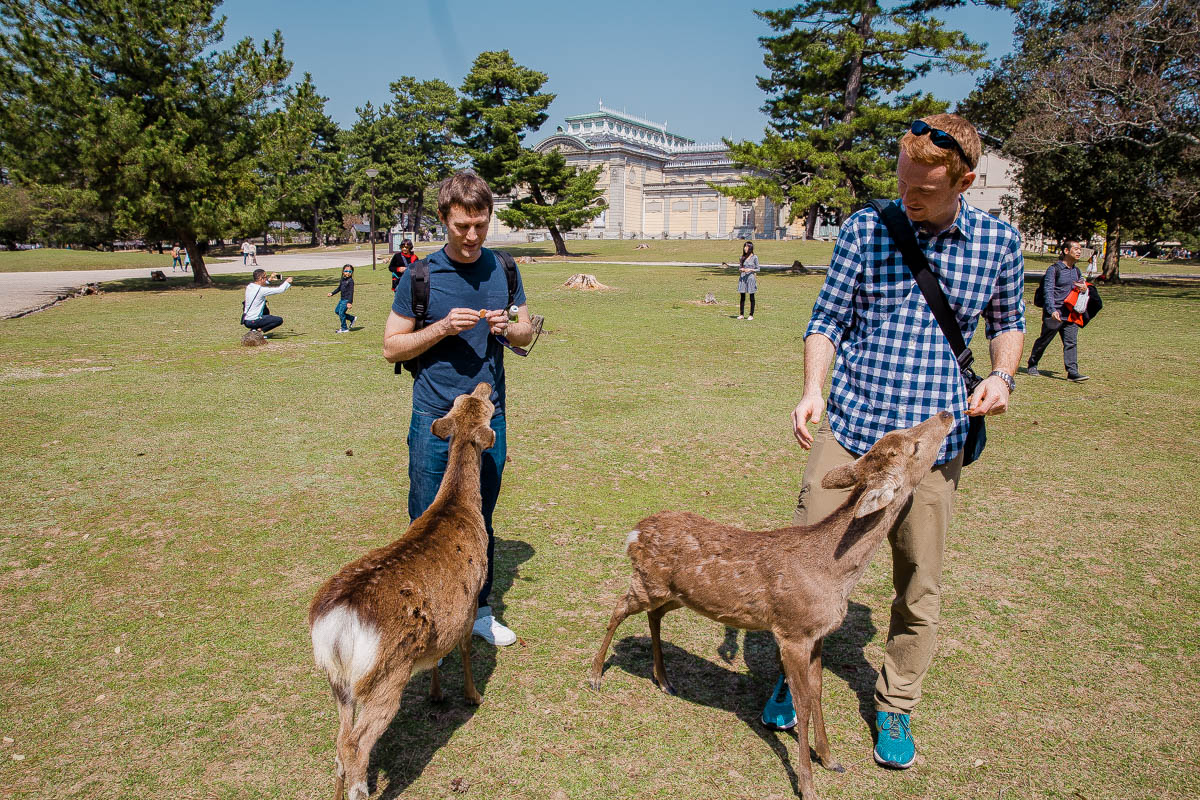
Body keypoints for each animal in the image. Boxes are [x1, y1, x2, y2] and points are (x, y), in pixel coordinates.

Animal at [309, 381, 496, 800]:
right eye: (485, 407)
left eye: (465, 400)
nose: (484, 383)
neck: (459, 506)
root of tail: (339, 621)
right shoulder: (469, 601)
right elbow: (464, 648)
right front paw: (473, 696)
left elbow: (437, 658)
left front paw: (436, 693)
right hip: (385, 676)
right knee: (355, 745)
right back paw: (361, 788)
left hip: (338, 680)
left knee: (339, 742)